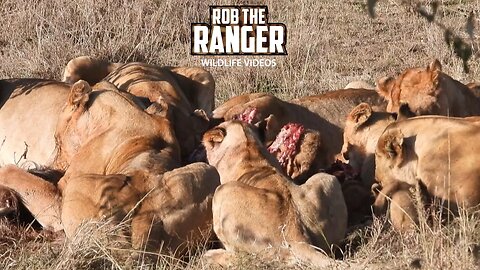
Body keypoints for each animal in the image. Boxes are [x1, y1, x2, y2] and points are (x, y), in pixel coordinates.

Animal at [201, 121, 346, 268]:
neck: (247, 144)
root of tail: (298, 237)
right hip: (328, 178)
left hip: (222, 191)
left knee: (247, 257)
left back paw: (211, 256)